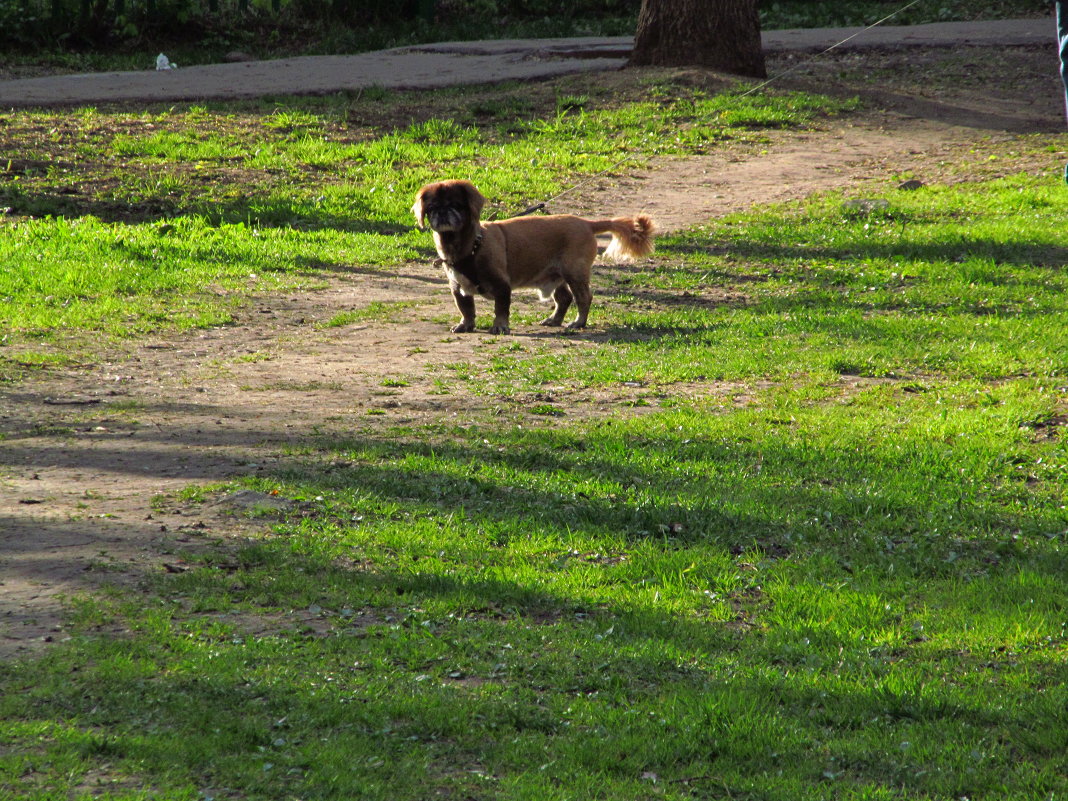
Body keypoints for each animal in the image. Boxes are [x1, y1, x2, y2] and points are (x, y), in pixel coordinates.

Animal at [412, 180, 653, 333]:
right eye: (431, 207)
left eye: (456, 205)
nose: (442, 211)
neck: (468, 247)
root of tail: (586, 223)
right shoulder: (458, 288)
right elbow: (467, 309)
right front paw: (466, 325)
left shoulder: (502, 286)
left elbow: (501, 308)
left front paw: (500, 327)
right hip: (557, 276)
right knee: (564, 299)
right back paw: (555, 320)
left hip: (575, 274)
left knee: (583, 298)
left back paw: (578, 323)